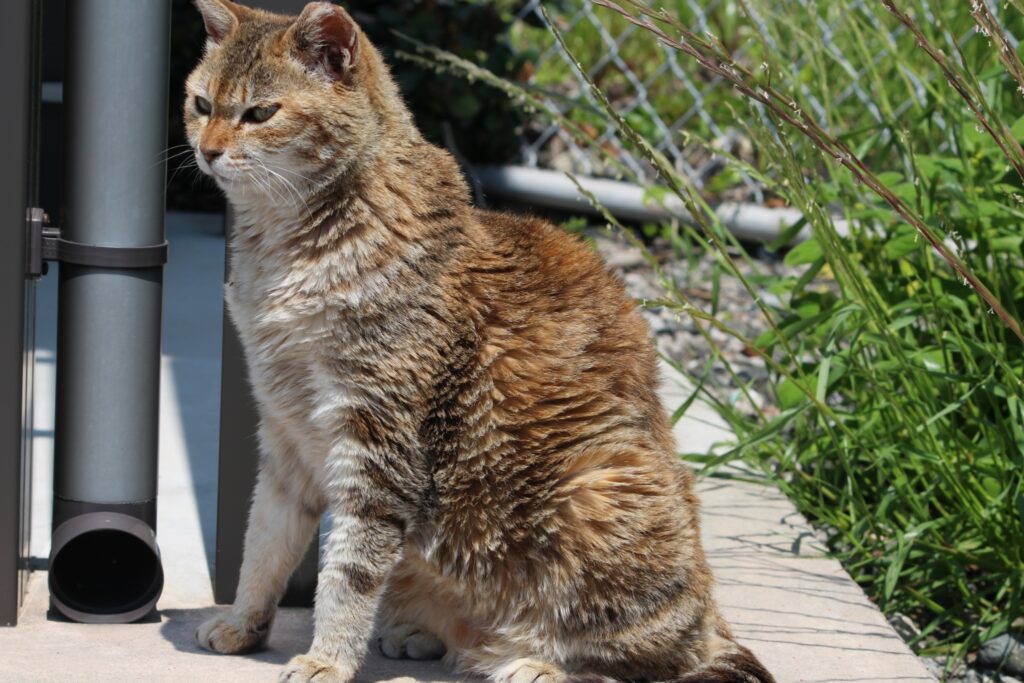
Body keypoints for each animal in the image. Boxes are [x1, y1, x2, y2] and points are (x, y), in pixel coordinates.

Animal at [186, 1, 774, 683]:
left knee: (643, 660)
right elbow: (264, 547)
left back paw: (538, 661)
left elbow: (347, 575)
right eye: (201, 103)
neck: (286, 249)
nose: (207, 150)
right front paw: (244, 622)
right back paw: (424, 633)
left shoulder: (376, 442)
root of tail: (710, 618)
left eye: (260, 113)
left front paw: (327, 658)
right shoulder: (284, 438)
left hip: (601, 491)